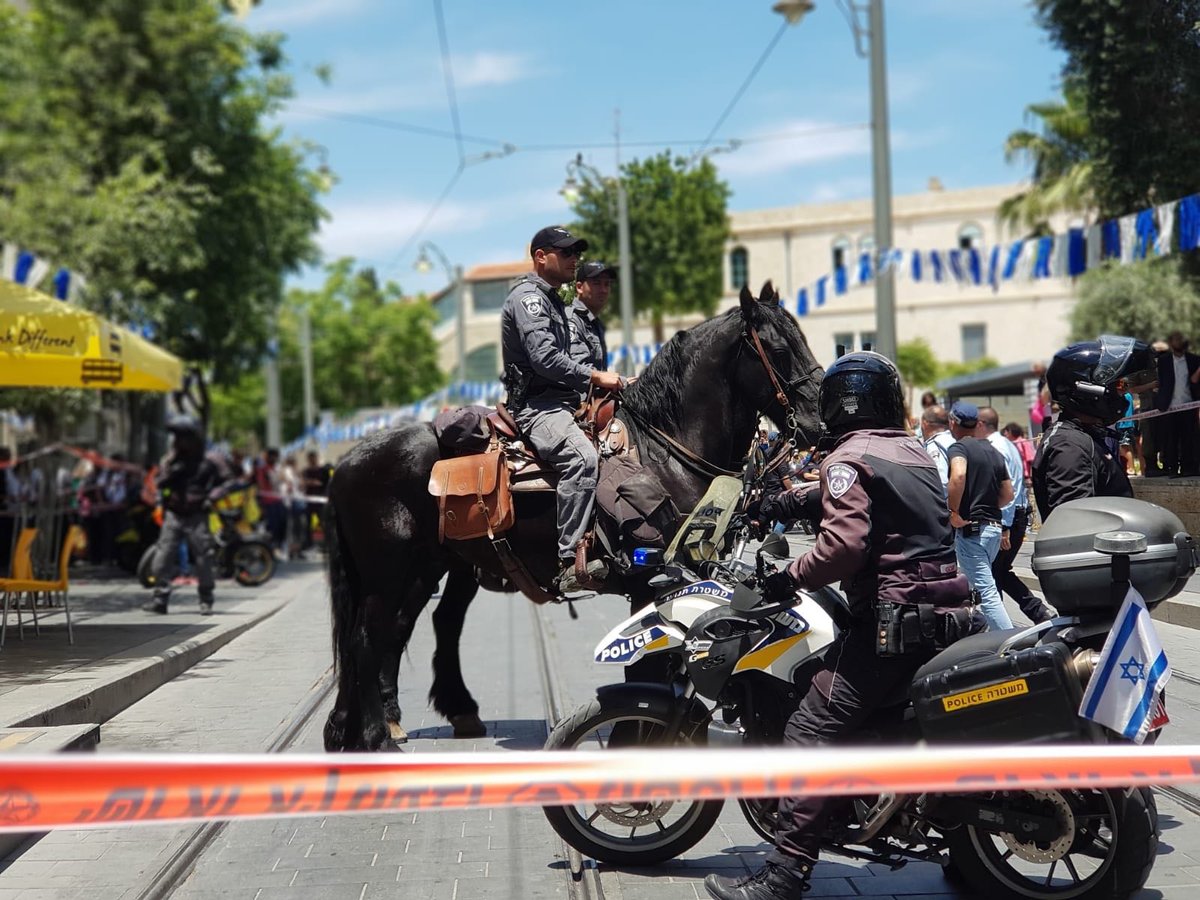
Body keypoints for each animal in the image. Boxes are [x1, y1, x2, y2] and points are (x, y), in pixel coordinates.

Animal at [319, 282, 825, 753]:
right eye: (779, 349)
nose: (819, 423)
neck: (666, 449)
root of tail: (349, 460)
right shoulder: (651, 580)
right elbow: (650, 668)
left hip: (432, 567)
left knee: (408, 630)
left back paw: (376, 725)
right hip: (390, 573)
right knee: (366, 639)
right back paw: (375, 736)